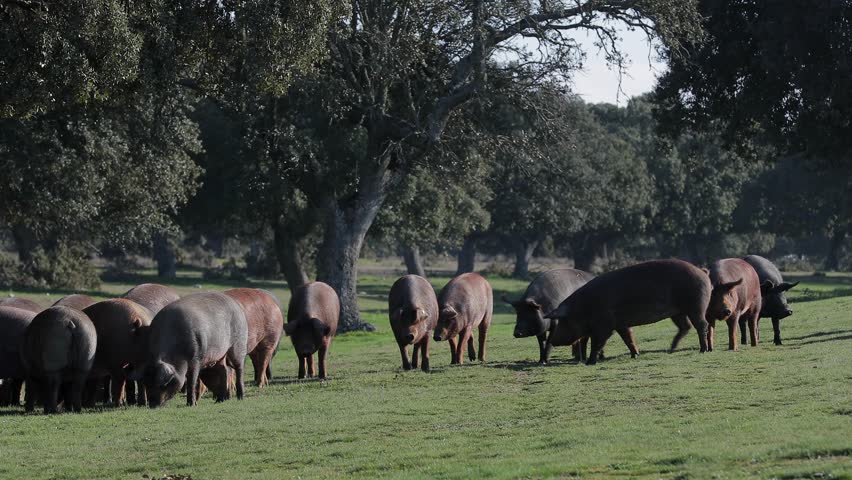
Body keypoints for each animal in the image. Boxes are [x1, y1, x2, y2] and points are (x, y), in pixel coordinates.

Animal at [545, 259, 712, 364]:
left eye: (563, 320)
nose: (553, 340)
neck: (584, 308)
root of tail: (702, 272)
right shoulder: (620, 324)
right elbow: (628, 337)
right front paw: (635, 355)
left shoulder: (605, 325)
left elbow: (598, 342)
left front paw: (590, 362)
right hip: (678, 312)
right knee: (687, 326)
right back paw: (672, 349)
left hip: (696, 306)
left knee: (701, 325)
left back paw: (703, 350)